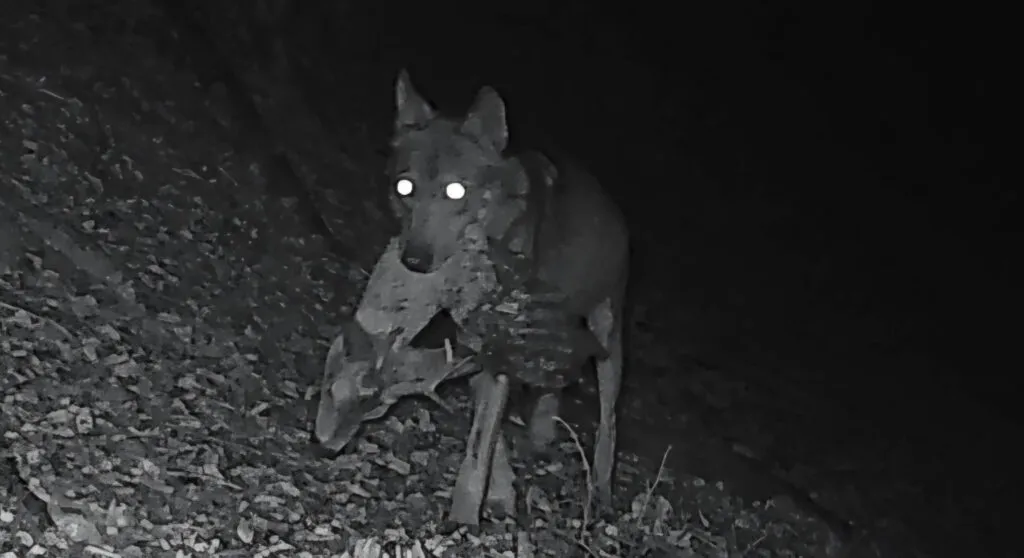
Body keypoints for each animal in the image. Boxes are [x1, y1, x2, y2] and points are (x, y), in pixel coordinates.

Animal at [316, 69, 629, 525]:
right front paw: (500, 497)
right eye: (404, 187)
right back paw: (541, 436)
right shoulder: (478, 339)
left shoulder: (499, 340)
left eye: (455, 192)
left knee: (608, 423)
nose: (413, 260)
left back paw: (602, 492)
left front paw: (463, 521)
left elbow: (479, 449)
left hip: (606, 336)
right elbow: (489, 436)